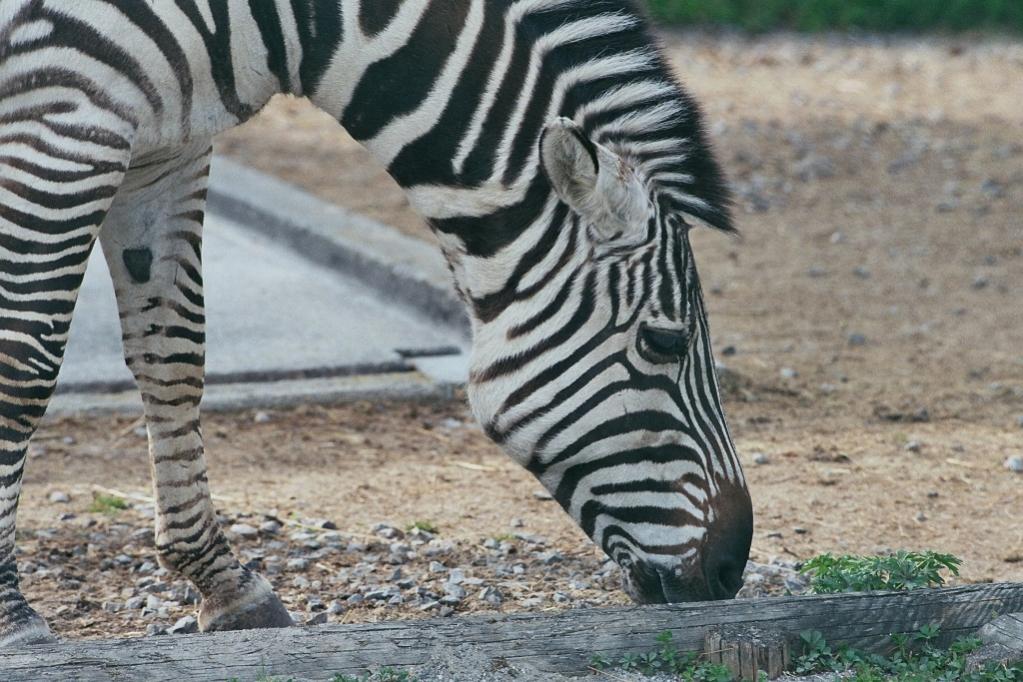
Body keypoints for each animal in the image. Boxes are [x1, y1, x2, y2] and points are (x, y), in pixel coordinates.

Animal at [0, 0, 753, 645]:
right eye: (664, 341)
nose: (730, 568)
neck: (285, 22)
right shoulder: (63, 115)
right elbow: (24, 365)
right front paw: (12, 618)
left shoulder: (166, 144)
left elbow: (174, 357)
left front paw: (224, 584)